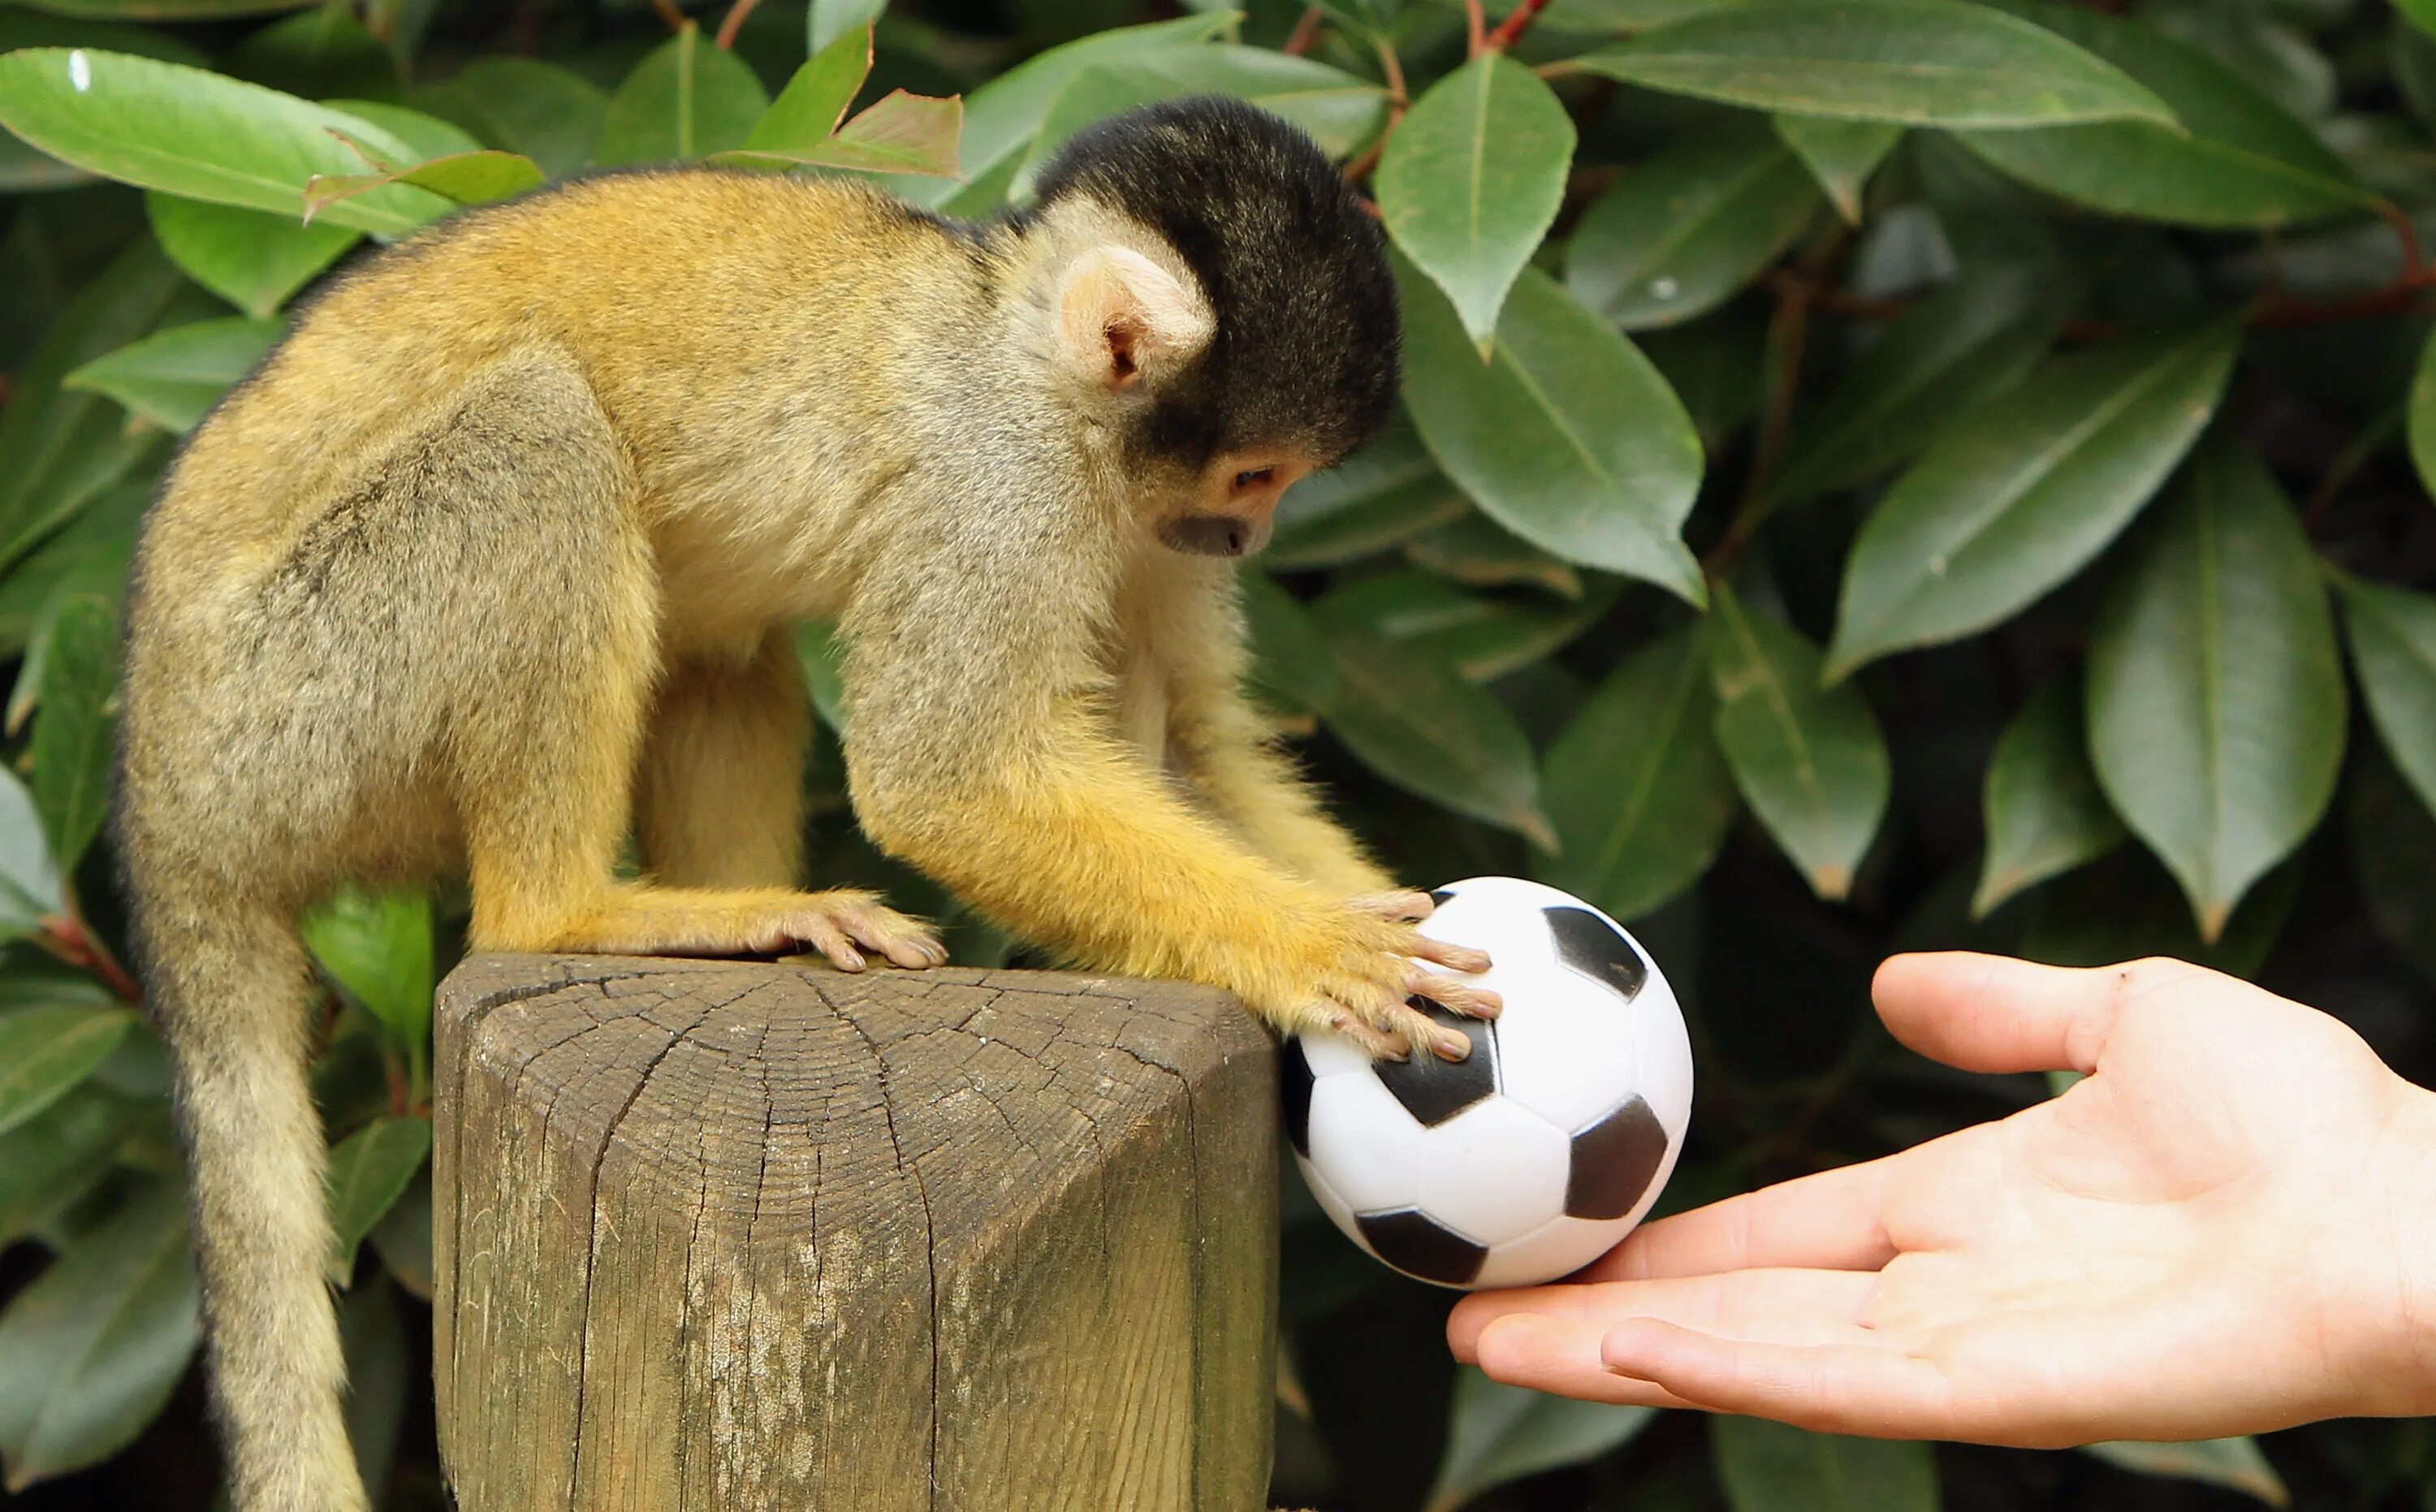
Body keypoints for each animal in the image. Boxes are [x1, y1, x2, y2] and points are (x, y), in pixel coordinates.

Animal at [119, 100, 1501, 1500]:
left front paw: (1383, 912)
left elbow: (1192, 753)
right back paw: (576, 911)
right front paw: (1319, 947)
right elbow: (942, 771)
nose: (1246, 542)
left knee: (717, 630)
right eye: (1256, 474)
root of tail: (154, 793)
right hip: (292, 707)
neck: (1023, 357)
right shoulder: (1002, 481)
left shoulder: (1132, 517)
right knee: (536, 433)